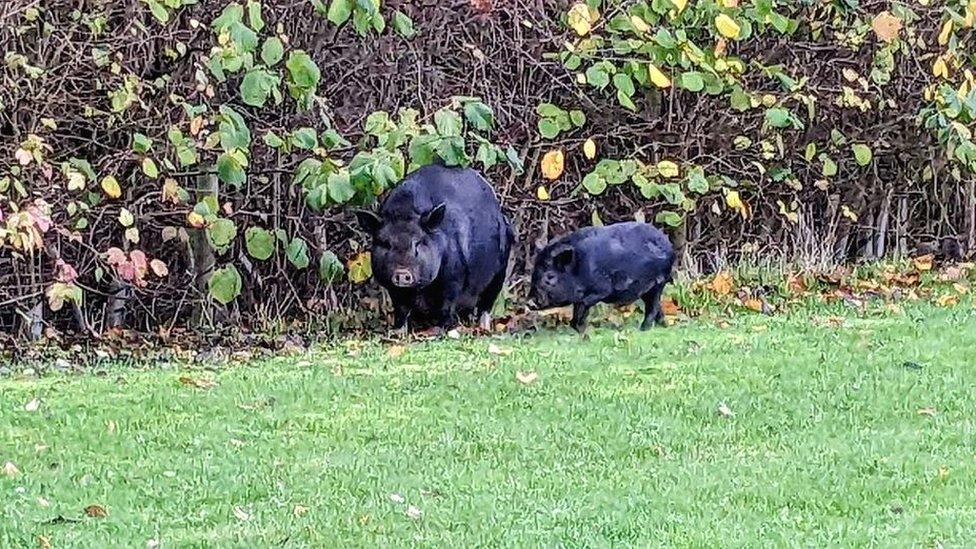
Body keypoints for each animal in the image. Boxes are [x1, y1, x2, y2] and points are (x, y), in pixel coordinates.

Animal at [354, 165, 516, 332]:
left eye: (418, 243)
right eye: (386, 243)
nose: (402, 273)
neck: (419, 290)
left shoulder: (454, 277)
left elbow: (447, 306)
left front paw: (442, 330)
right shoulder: (393, 289)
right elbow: (400, 310)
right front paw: (397, 331)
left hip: (500, 272)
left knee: (487, 303)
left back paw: (483, 327)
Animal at [528, 220, 676, 332]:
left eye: (550, 276)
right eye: (534, 272)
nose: (529, 301)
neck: (578, 266)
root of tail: (669, 244)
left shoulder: (602, 290)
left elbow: (583, 305)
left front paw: (581, 329)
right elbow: (577, 308)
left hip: (658, 282)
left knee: (653, 307)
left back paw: (643, 329)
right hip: (649, 289)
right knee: (657, 306)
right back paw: (663, 325)